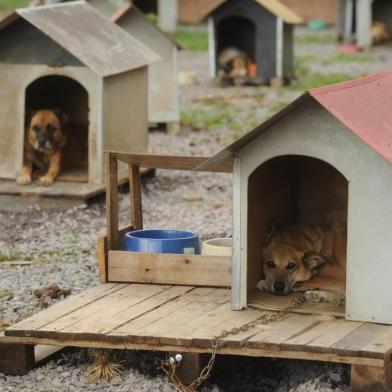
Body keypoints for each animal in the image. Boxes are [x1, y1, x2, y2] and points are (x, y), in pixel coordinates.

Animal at [0, 1, 158, 201]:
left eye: (51, 128)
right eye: (35, 128)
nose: (42, 141)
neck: (42, 154)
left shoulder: (56, 159)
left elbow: (53, 169)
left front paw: (46, 177)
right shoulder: (28, 155)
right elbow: (26, 165)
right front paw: (24, 175)